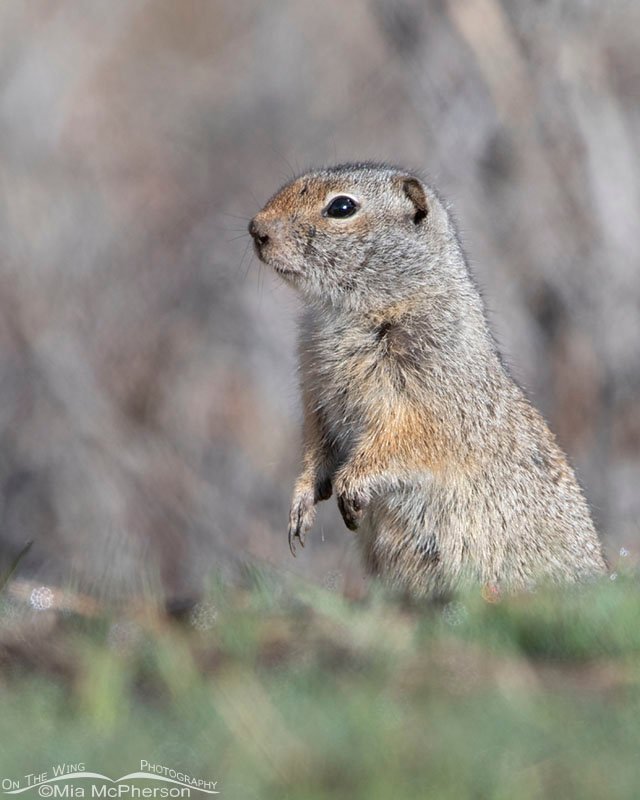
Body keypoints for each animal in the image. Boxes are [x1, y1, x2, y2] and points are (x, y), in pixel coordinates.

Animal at [248, 162, 607, 596]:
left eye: (342, 207)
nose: (255, 229)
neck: (350, 313)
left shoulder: (433, 386)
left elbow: (409, 437)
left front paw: (351, 484)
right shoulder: (314, 387)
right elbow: (317, 445)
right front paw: (300, 504)